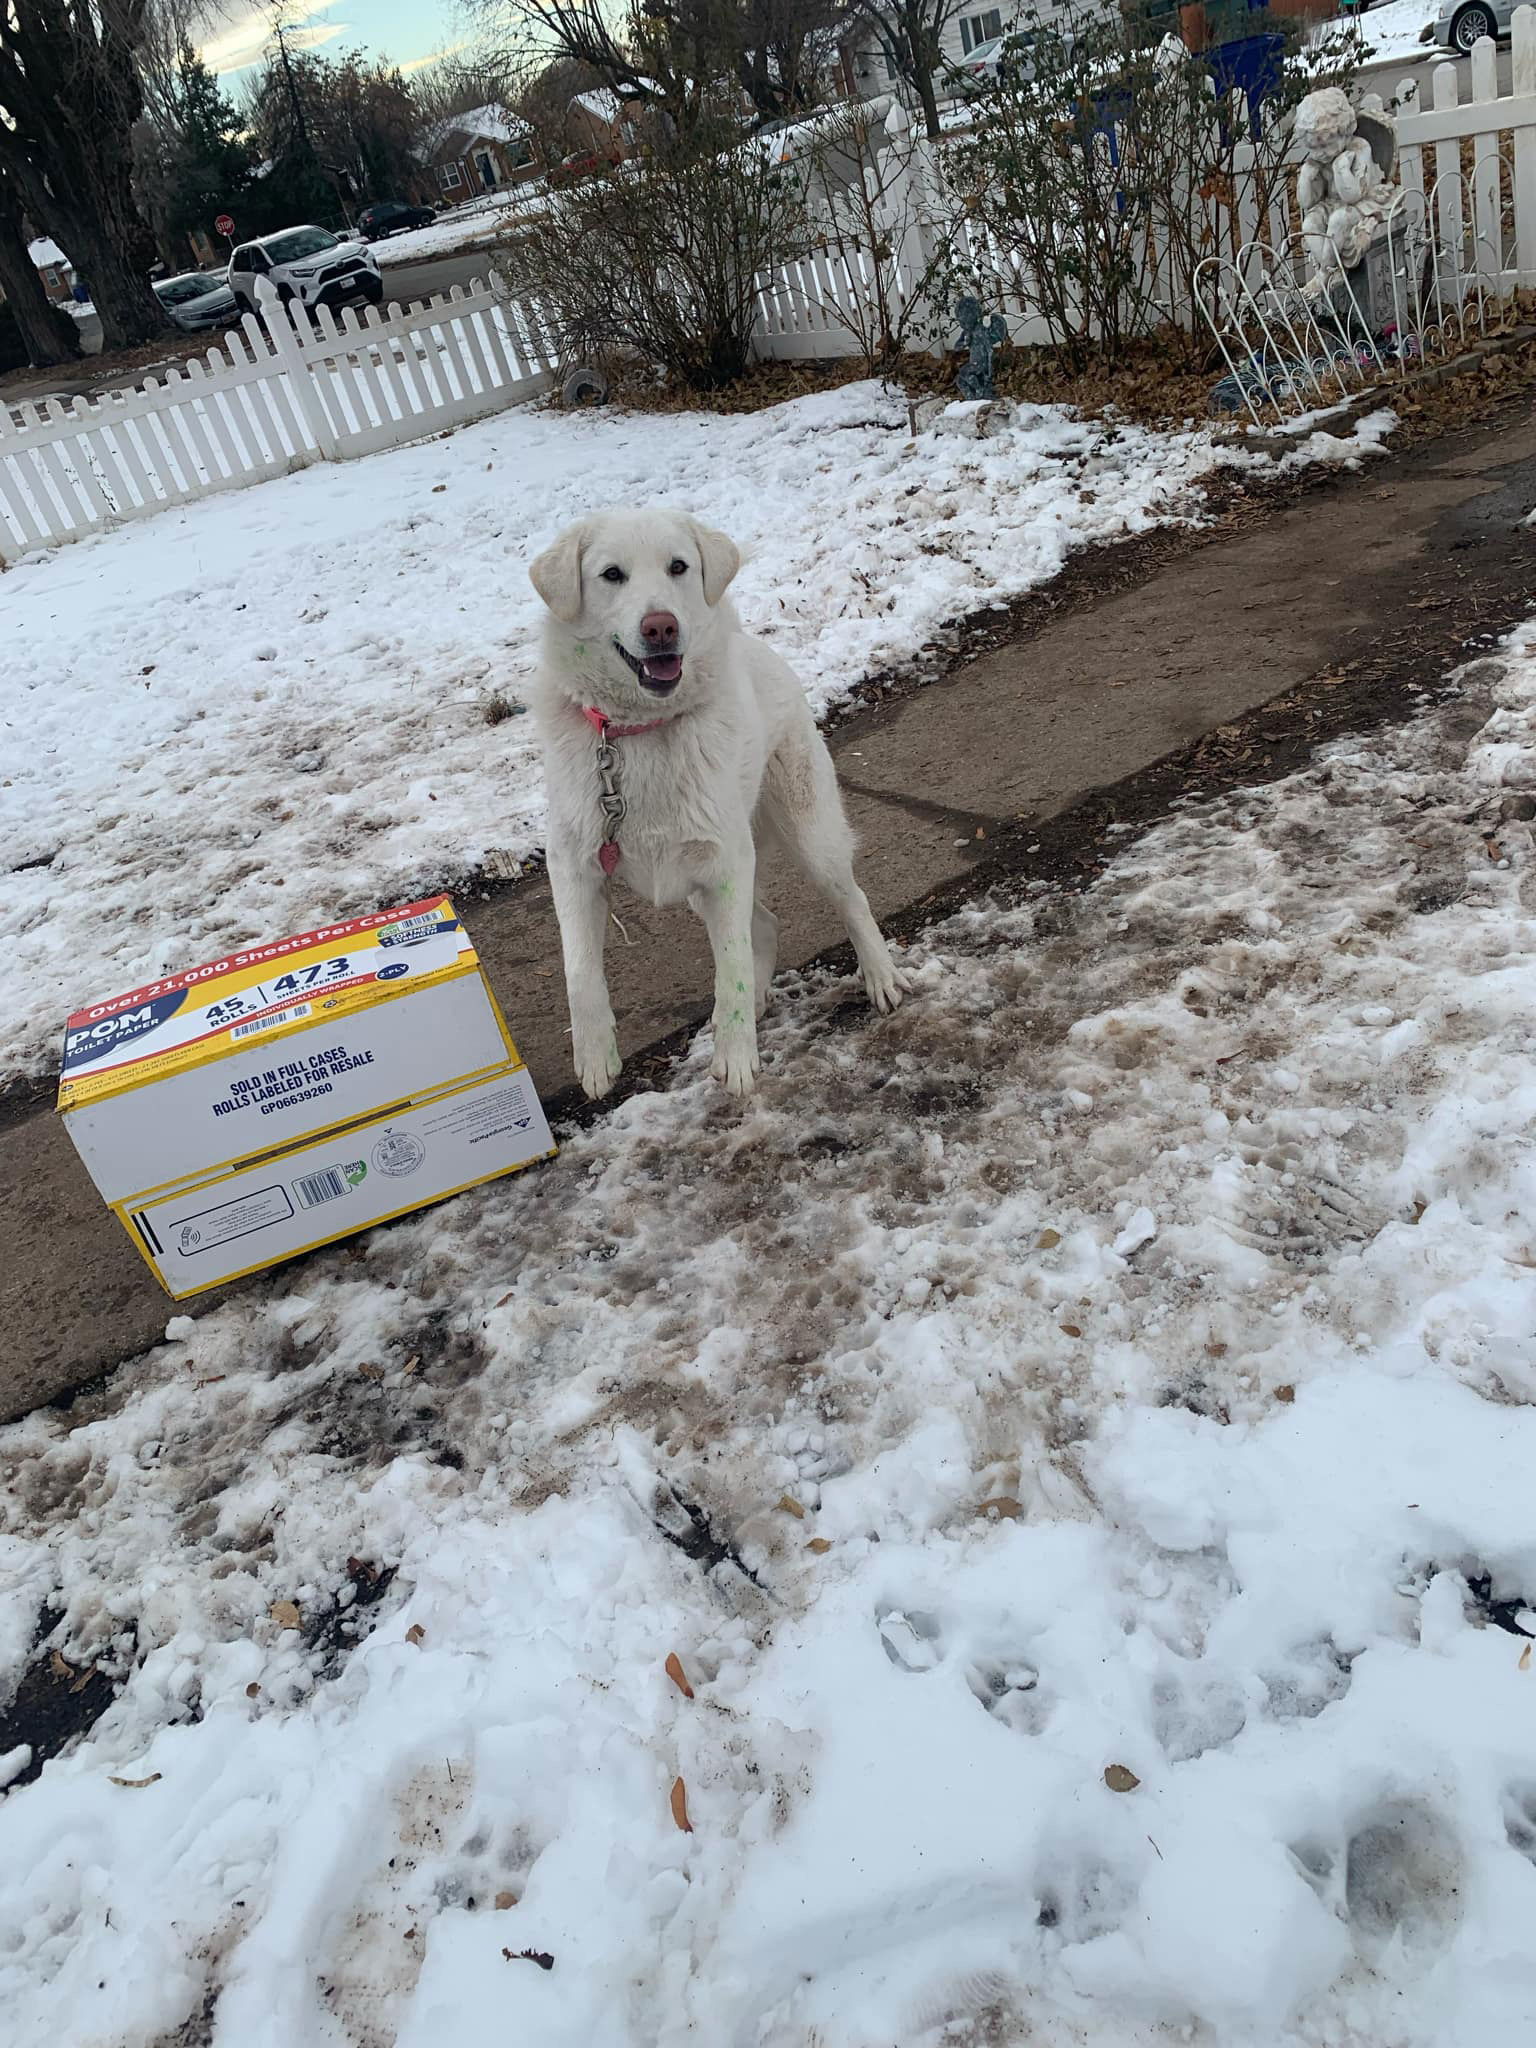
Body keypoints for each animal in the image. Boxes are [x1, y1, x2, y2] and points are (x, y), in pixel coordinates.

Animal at [532, 505, 909, 1097]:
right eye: (611, 574)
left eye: (678, 566)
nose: (660, 626)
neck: (641, 732)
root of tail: (759, 647)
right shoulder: (574, 867)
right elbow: (579, 973)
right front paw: (595, 1058)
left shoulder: (725, 863)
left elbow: (728, 970)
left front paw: (735, 1059)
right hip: (703, 887)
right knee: (767, 925)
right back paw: (759, 1002)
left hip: (807, 836)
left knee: (852, 900)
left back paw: (881, 977)